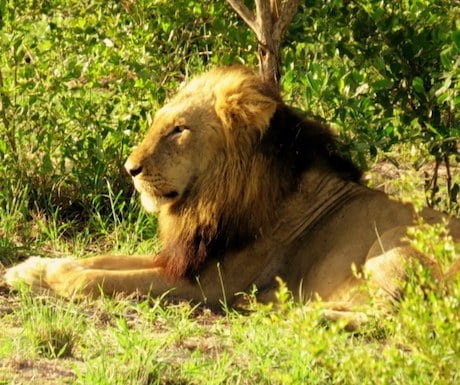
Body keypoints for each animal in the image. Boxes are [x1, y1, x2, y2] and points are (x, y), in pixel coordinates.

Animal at [4, 65, 460, 324]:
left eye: (179, 130)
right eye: (161, 123)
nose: (130, 169)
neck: (210, 201)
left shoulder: (210, 285)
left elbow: (94, 277)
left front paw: (50, 277)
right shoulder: (185, 258)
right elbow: (98, 259)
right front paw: (27, 270)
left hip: (396, 247)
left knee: (395, 318)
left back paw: (299, 313)